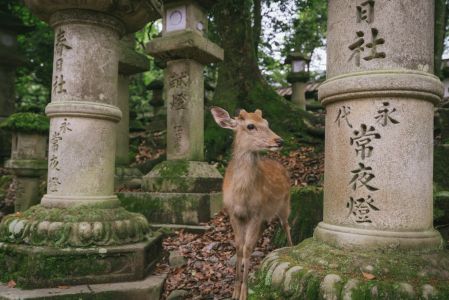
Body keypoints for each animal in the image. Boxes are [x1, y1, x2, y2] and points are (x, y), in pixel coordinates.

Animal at [209, 106, 290, 298]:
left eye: (267, 123)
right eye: (250, 126)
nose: (279, 140)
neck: (242, 196)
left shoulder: (256, 213)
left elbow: (246, 248)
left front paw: (244, 293)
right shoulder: (233, 214)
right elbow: (239, 247)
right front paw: (234, 291)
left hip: (285, 204)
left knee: (287, 226)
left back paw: (292, 248)